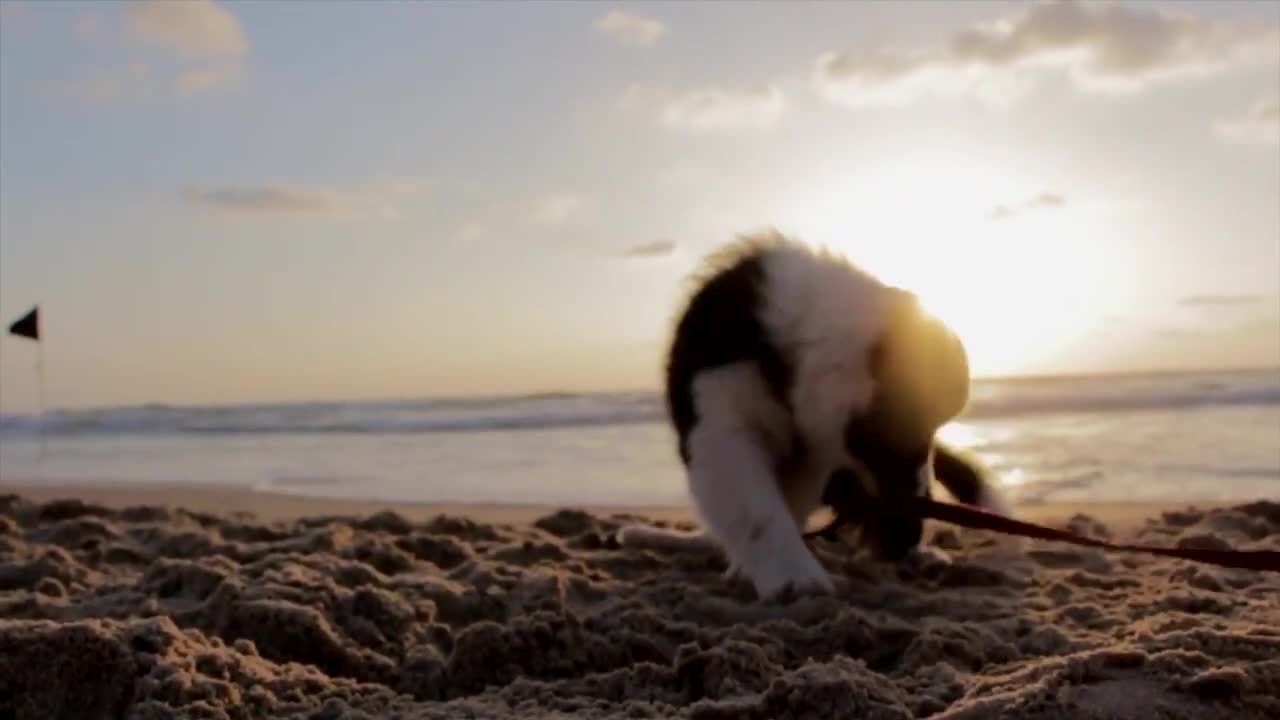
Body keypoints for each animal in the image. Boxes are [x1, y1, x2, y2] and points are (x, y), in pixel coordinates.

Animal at [616, 228, 1008, 594]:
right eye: (910, 433)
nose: (908, 534)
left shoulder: (811, 457)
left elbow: (787, 507)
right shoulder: (721, 425)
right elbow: (759, 511)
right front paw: (795, 578)